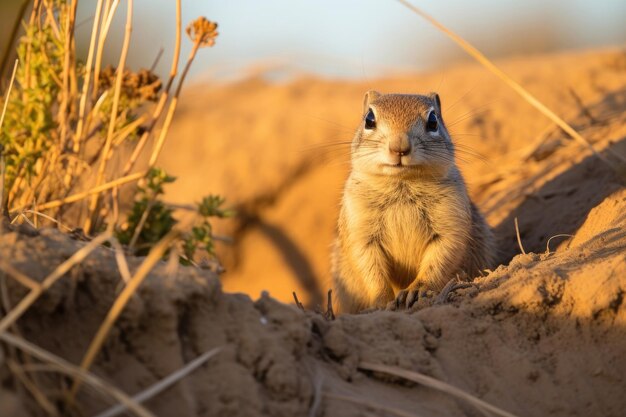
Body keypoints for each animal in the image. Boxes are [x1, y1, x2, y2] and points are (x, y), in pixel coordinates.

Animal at [330, 91, 494, 312]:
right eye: (369, 120)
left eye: (433, 121)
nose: (399, 147)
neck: (402, 183)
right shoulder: (360, 230)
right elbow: (370, 271)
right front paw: (382, 301)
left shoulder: (451, 224)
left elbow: (438, 261)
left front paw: (414, 291)